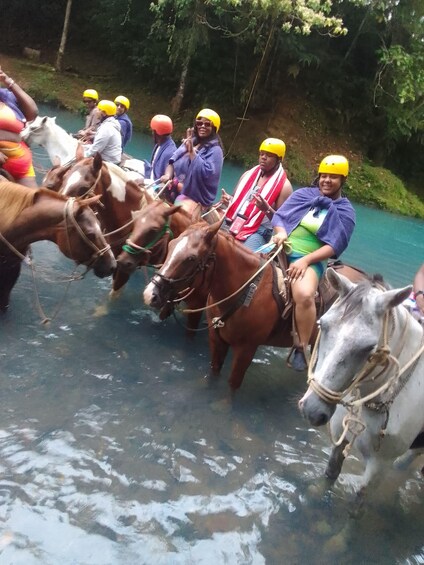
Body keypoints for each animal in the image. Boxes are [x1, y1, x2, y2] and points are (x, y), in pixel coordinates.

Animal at [144, 218, 366, 390]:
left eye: (191, 258)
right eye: (171, 245)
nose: (150, 294)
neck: (246, 290)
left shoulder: (246, 349)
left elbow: (233, 385)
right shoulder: (216, 340)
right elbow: (214, 372)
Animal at [298, 268, 424, 494]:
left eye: (369, 348)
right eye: (322, 324)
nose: (311, 411)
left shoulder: (378, 468)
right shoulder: (339, 440)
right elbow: (329, 476)